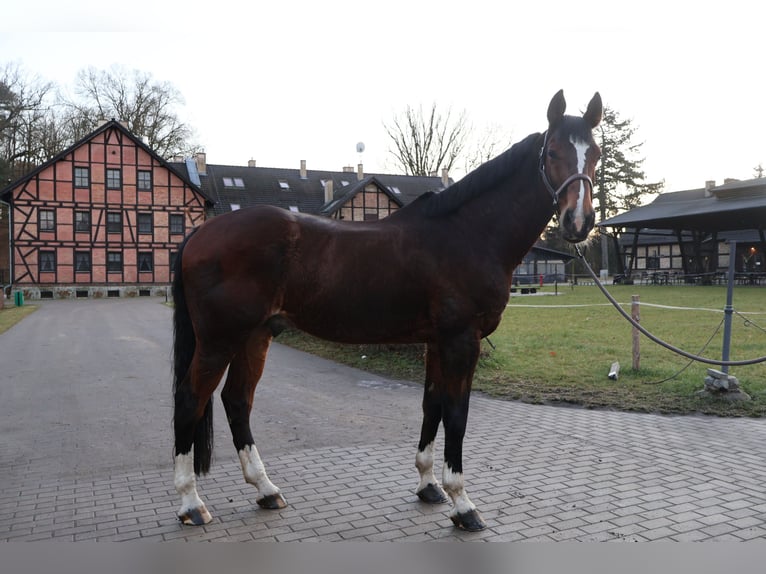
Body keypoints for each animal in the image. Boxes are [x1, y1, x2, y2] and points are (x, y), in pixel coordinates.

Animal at [171, 89, 602, 532]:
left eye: (595, 154)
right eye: (553, 152)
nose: (579, 221)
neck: (469, 233)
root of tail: (200, 233)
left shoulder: (436, 342)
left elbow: (432, 405)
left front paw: (429, 485)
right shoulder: (461, 341)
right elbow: (457, 414)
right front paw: (463, 504)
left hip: (256, 335)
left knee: (237, 401)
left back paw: (266, 490)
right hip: (219, 340)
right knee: (190, 399)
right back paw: (191, 504)